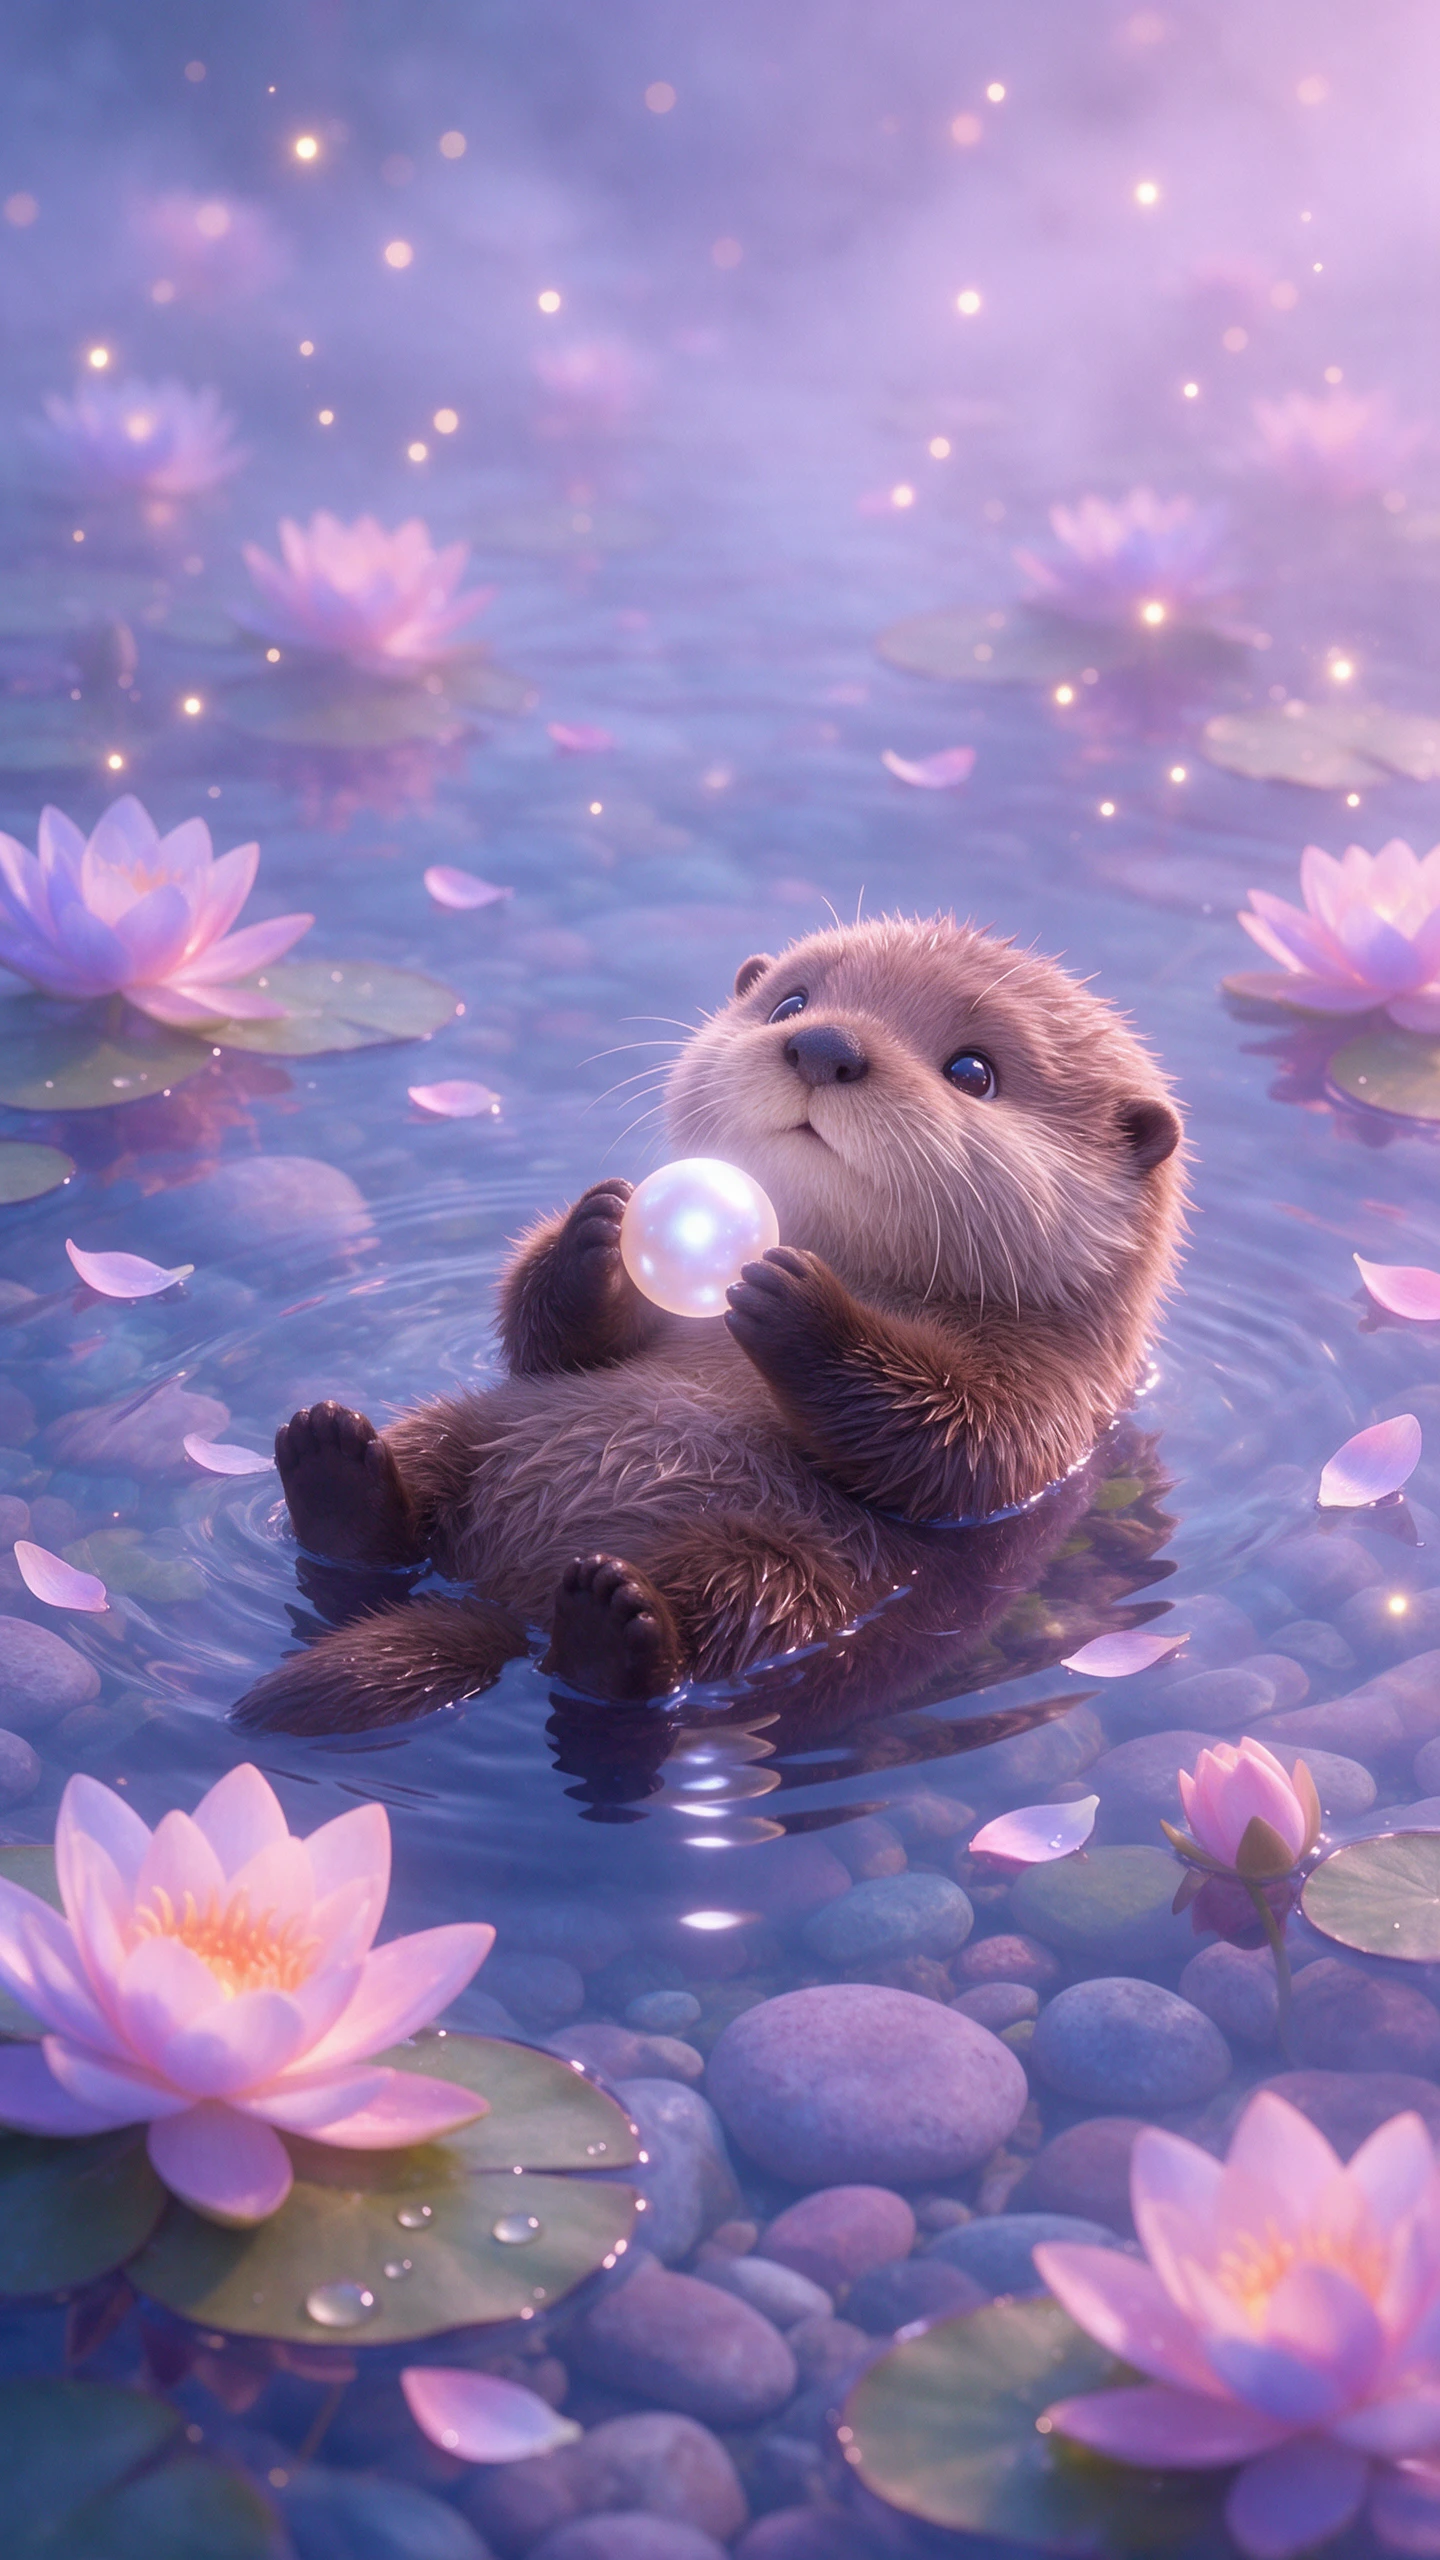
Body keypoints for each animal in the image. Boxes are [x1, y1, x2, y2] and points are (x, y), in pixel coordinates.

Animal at [237, 913, 1184, 1735]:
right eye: (791, 1003)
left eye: (974, 1071)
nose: (825, 1047)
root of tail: (503, 1593)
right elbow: (544, 1340)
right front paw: (598, 1228)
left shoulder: (1051, 1392)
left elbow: (957, 1447)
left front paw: (793, 1296)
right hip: (471, 1427)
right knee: (401, 1503)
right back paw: (333, 1461)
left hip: (785, 1566)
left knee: (695, 1638)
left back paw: (610, 1623)